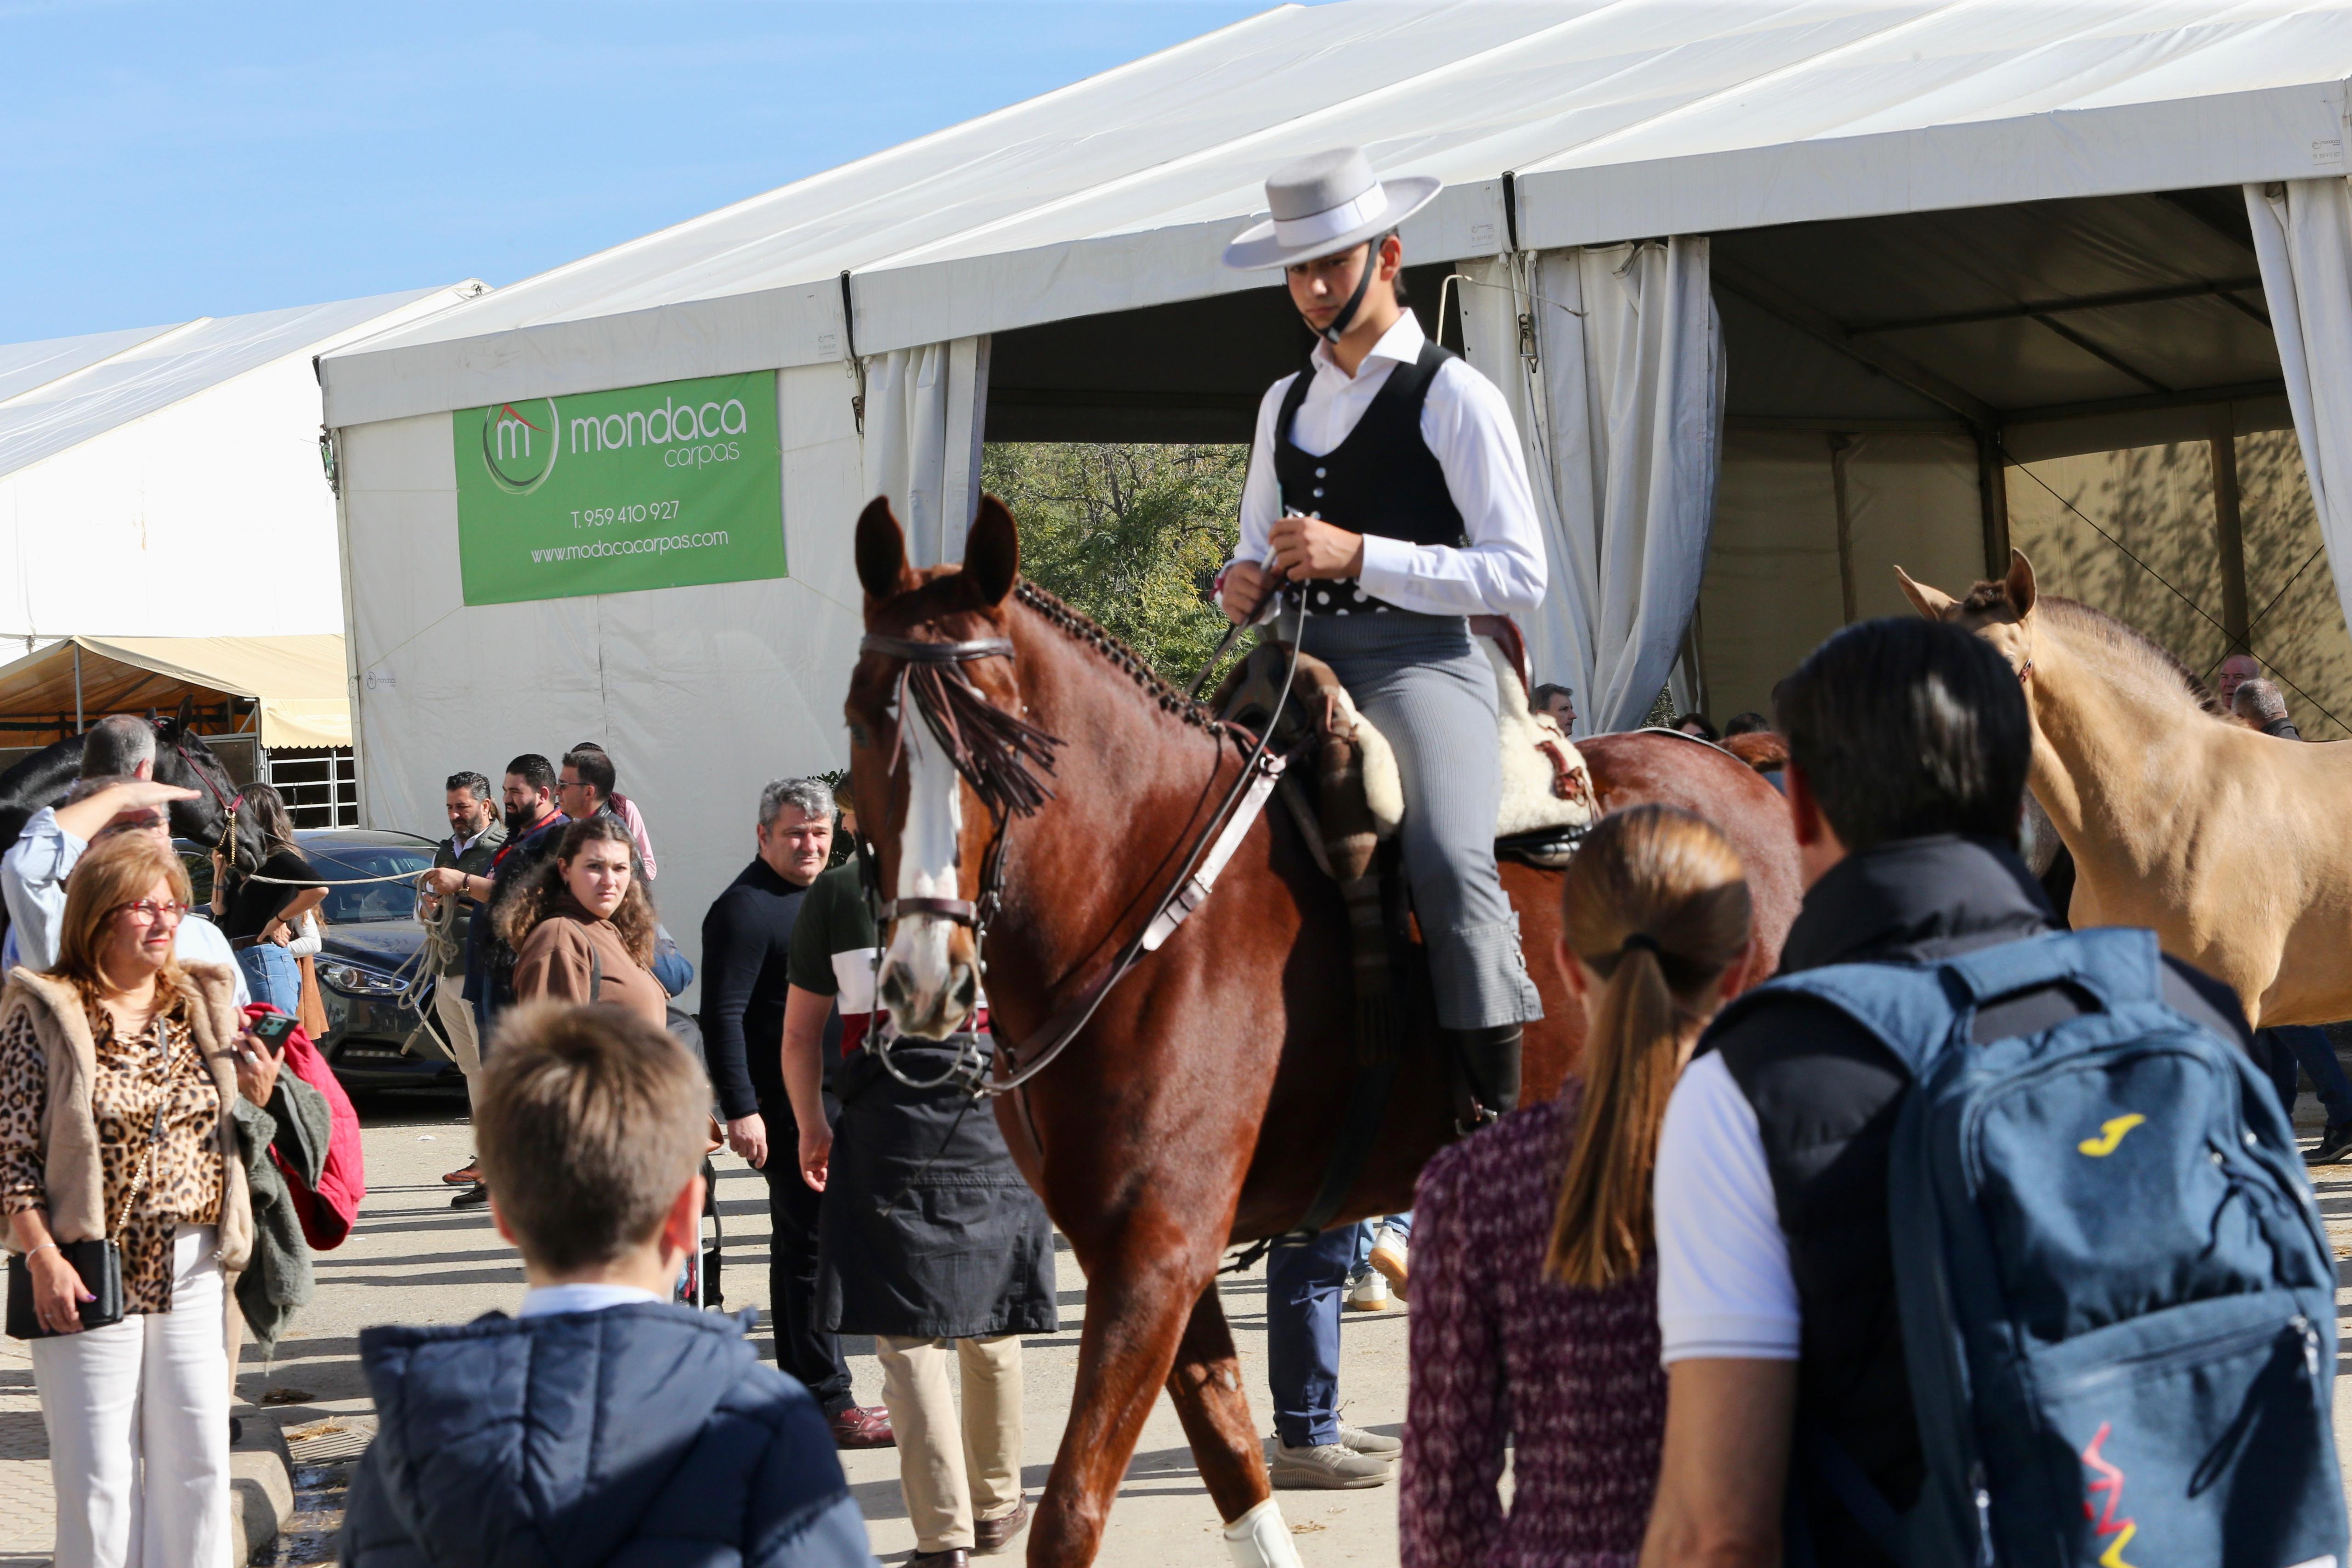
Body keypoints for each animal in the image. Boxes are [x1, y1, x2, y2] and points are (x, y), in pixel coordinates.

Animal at [856, 496, 1787, 1561]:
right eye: (862, 719)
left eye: (1000, 734)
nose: (924, 978)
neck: (1148, 912)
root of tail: (1744, 779)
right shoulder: (1147, 1252)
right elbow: (1234, 1464)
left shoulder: (1154, 1256)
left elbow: (1073, 1514)